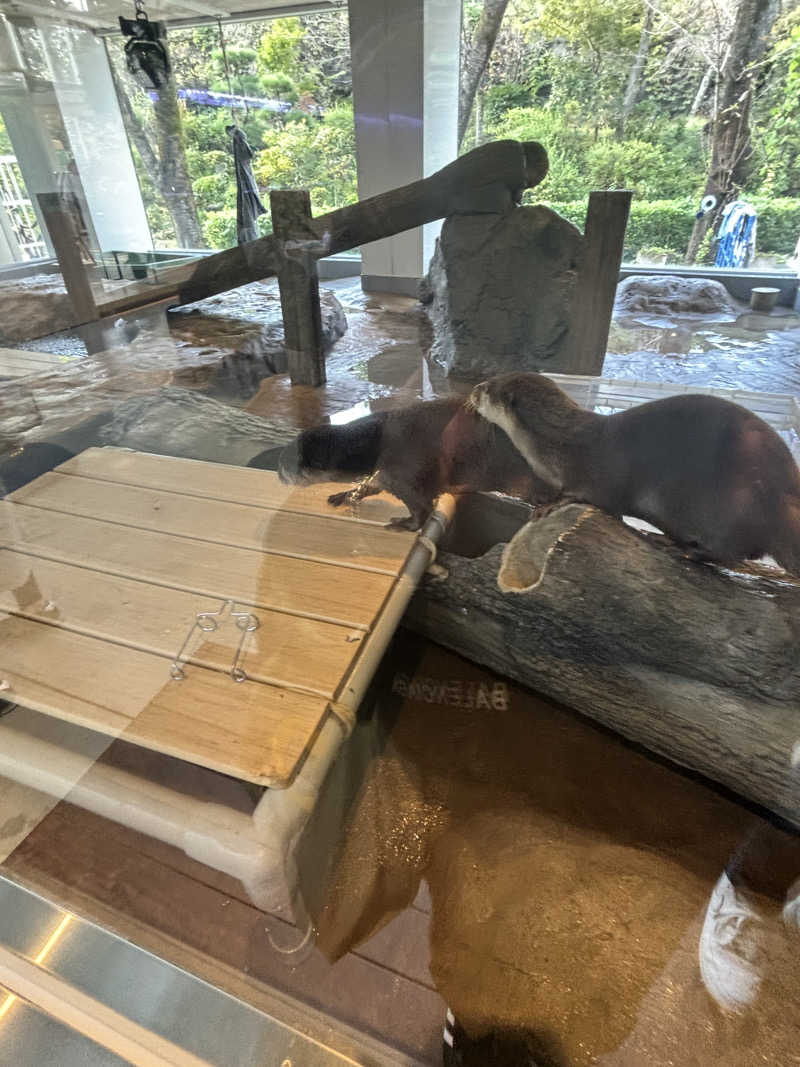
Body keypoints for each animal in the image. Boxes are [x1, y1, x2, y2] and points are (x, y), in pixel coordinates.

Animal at [277, 396, 558, 529]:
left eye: (285, 464)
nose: (278, 474)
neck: (378, 442)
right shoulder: (385, 475)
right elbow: (369, 486)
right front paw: (343, 495)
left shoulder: (406, 475)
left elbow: (422, 508)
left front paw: (403, 524)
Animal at [469, 373, 800, 576]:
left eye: (488, 387)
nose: (472, 390)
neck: (560, 445)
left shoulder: (591, 475)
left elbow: (588, 497)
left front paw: (549, 504)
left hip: (734, 506)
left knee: (727, 553)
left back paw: (679, 547)